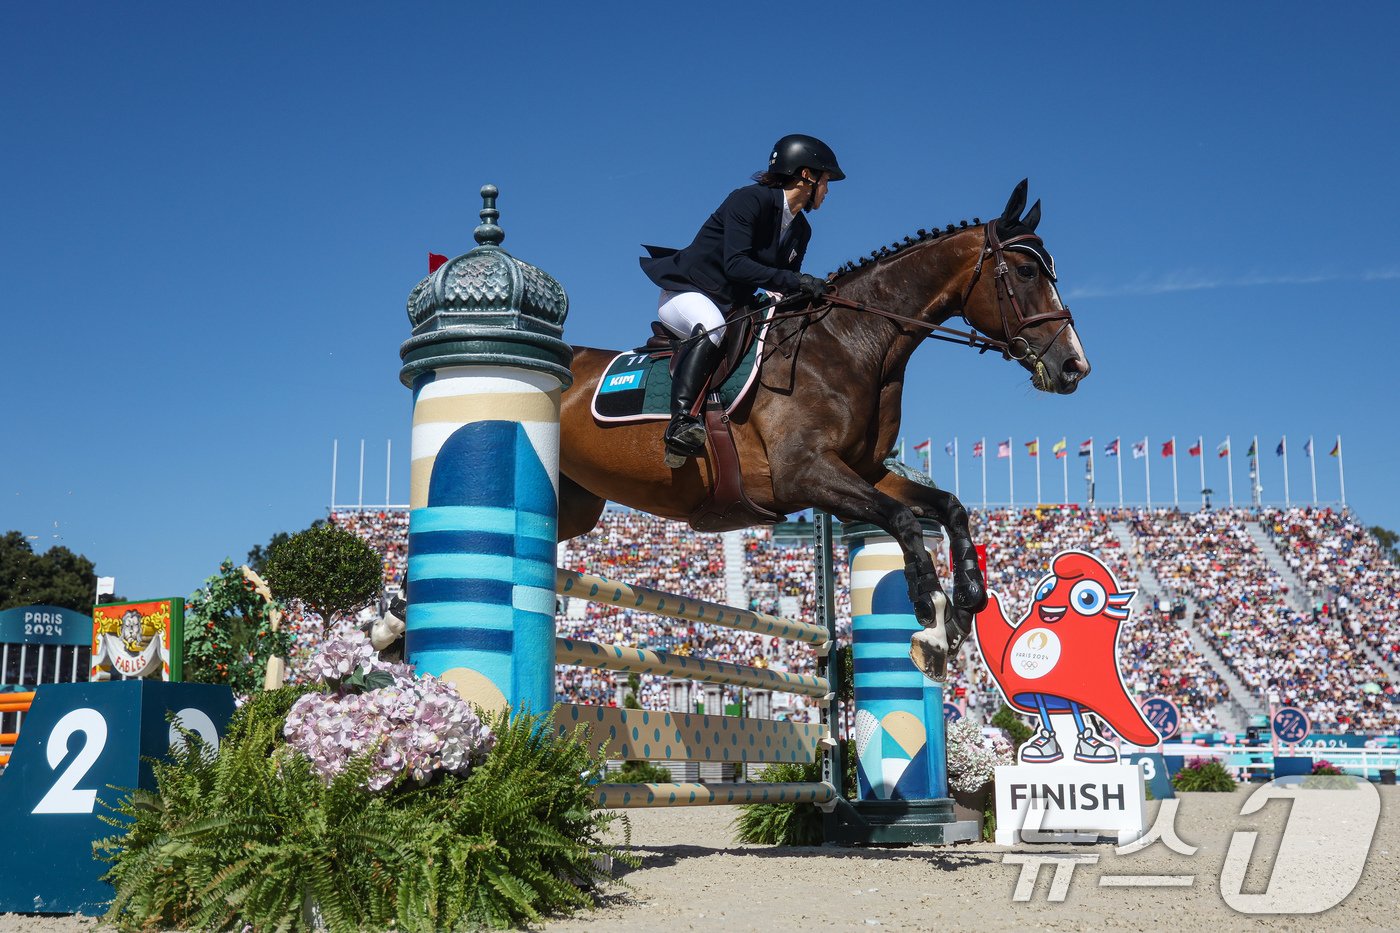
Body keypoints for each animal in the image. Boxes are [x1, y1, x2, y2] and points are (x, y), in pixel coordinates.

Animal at [551, 179, 1086, 675]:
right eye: (1026, 271)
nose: (1073, 367)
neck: (853, 342)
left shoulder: (865, 472)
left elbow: (948, 507)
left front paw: (968, 599)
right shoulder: (803, 474)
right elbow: (903, 520)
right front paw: (932, 620)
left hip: (576, 506)